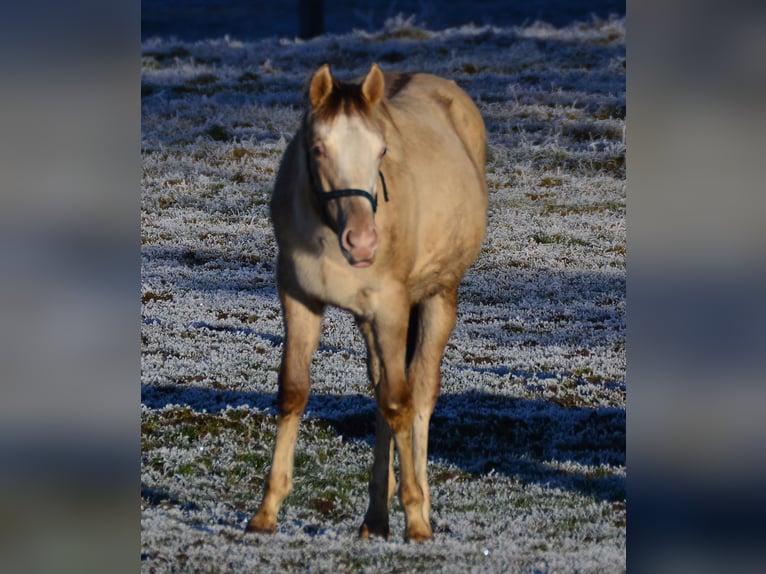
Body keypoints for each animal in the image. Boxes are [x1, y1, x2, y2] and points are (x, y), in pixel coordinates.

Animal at [249, 64, 488, 544]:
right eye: (319, 148)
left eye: (381, 150)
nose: (362, 242)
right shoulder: (299, 298)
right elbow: (294, 391)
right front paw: (266, 511)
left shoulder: (391, 308)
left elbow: (400, 403)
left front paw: (416, 518)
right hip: (370, 321)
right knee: (381, 387)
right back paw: (375, 516)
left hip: (438, 297)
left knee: (418, 391)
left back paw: (420, 504)